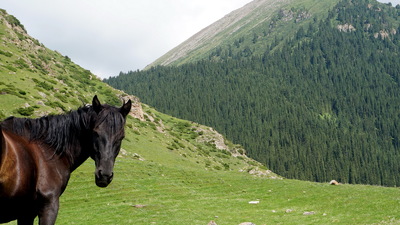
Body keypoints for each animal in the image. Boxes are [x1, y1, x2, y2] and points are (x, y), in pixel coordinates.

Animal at [0, 96, 131, 224]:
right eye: (95, 132)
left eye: (121, 137)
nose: (104, 175)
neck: (48, 149)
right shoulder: (48, 207)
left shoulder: (26, 214)